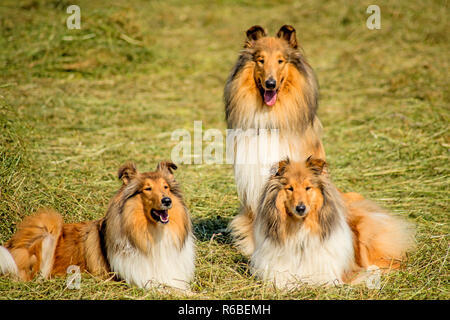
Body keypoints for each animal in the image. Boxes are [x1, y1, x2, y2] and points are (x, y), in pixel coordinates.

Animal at [0, 162, 195, 290]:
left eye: (166, 187)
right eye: (147, 189)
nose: (167, 201)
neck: (154, 233)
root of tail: (9, 245)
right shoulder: (144, 280)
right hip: (48, 223)